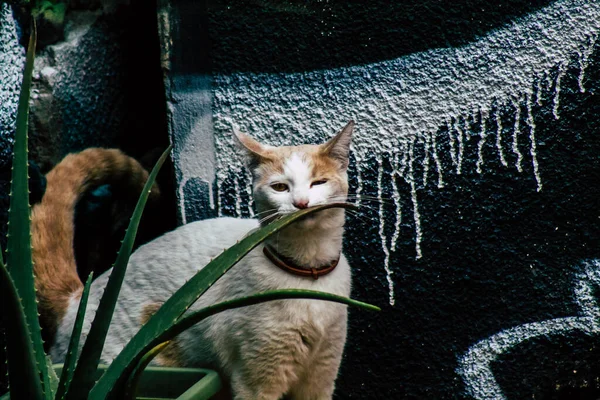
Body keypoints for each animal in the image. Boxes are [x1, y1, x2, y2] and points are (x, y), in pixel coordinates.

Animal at [35, 120, 354, 398]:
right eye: (280, 188)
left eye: (318, 183)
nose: (301, 203)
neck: (308, 272)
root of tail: (76, 298)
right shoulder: (255, 380)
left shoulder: (323, 373)